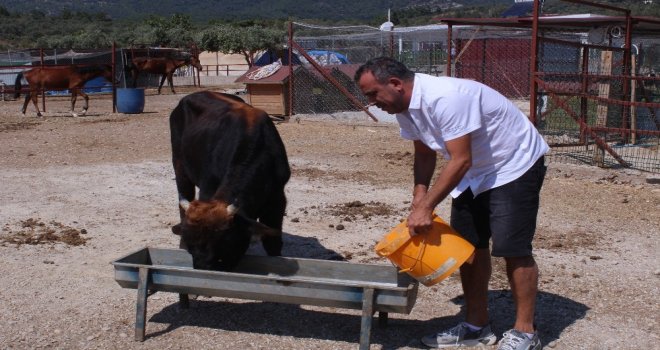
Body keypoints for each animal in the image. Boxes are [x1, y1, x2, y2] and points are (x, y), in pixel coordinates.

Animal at [171, 91, 290, 270]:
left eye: (224, 241)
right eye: (192, 245)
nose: (203, 268)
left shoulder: (277, 198)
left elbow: (273, 242)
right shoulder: (207, 187)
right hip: (179, 165)